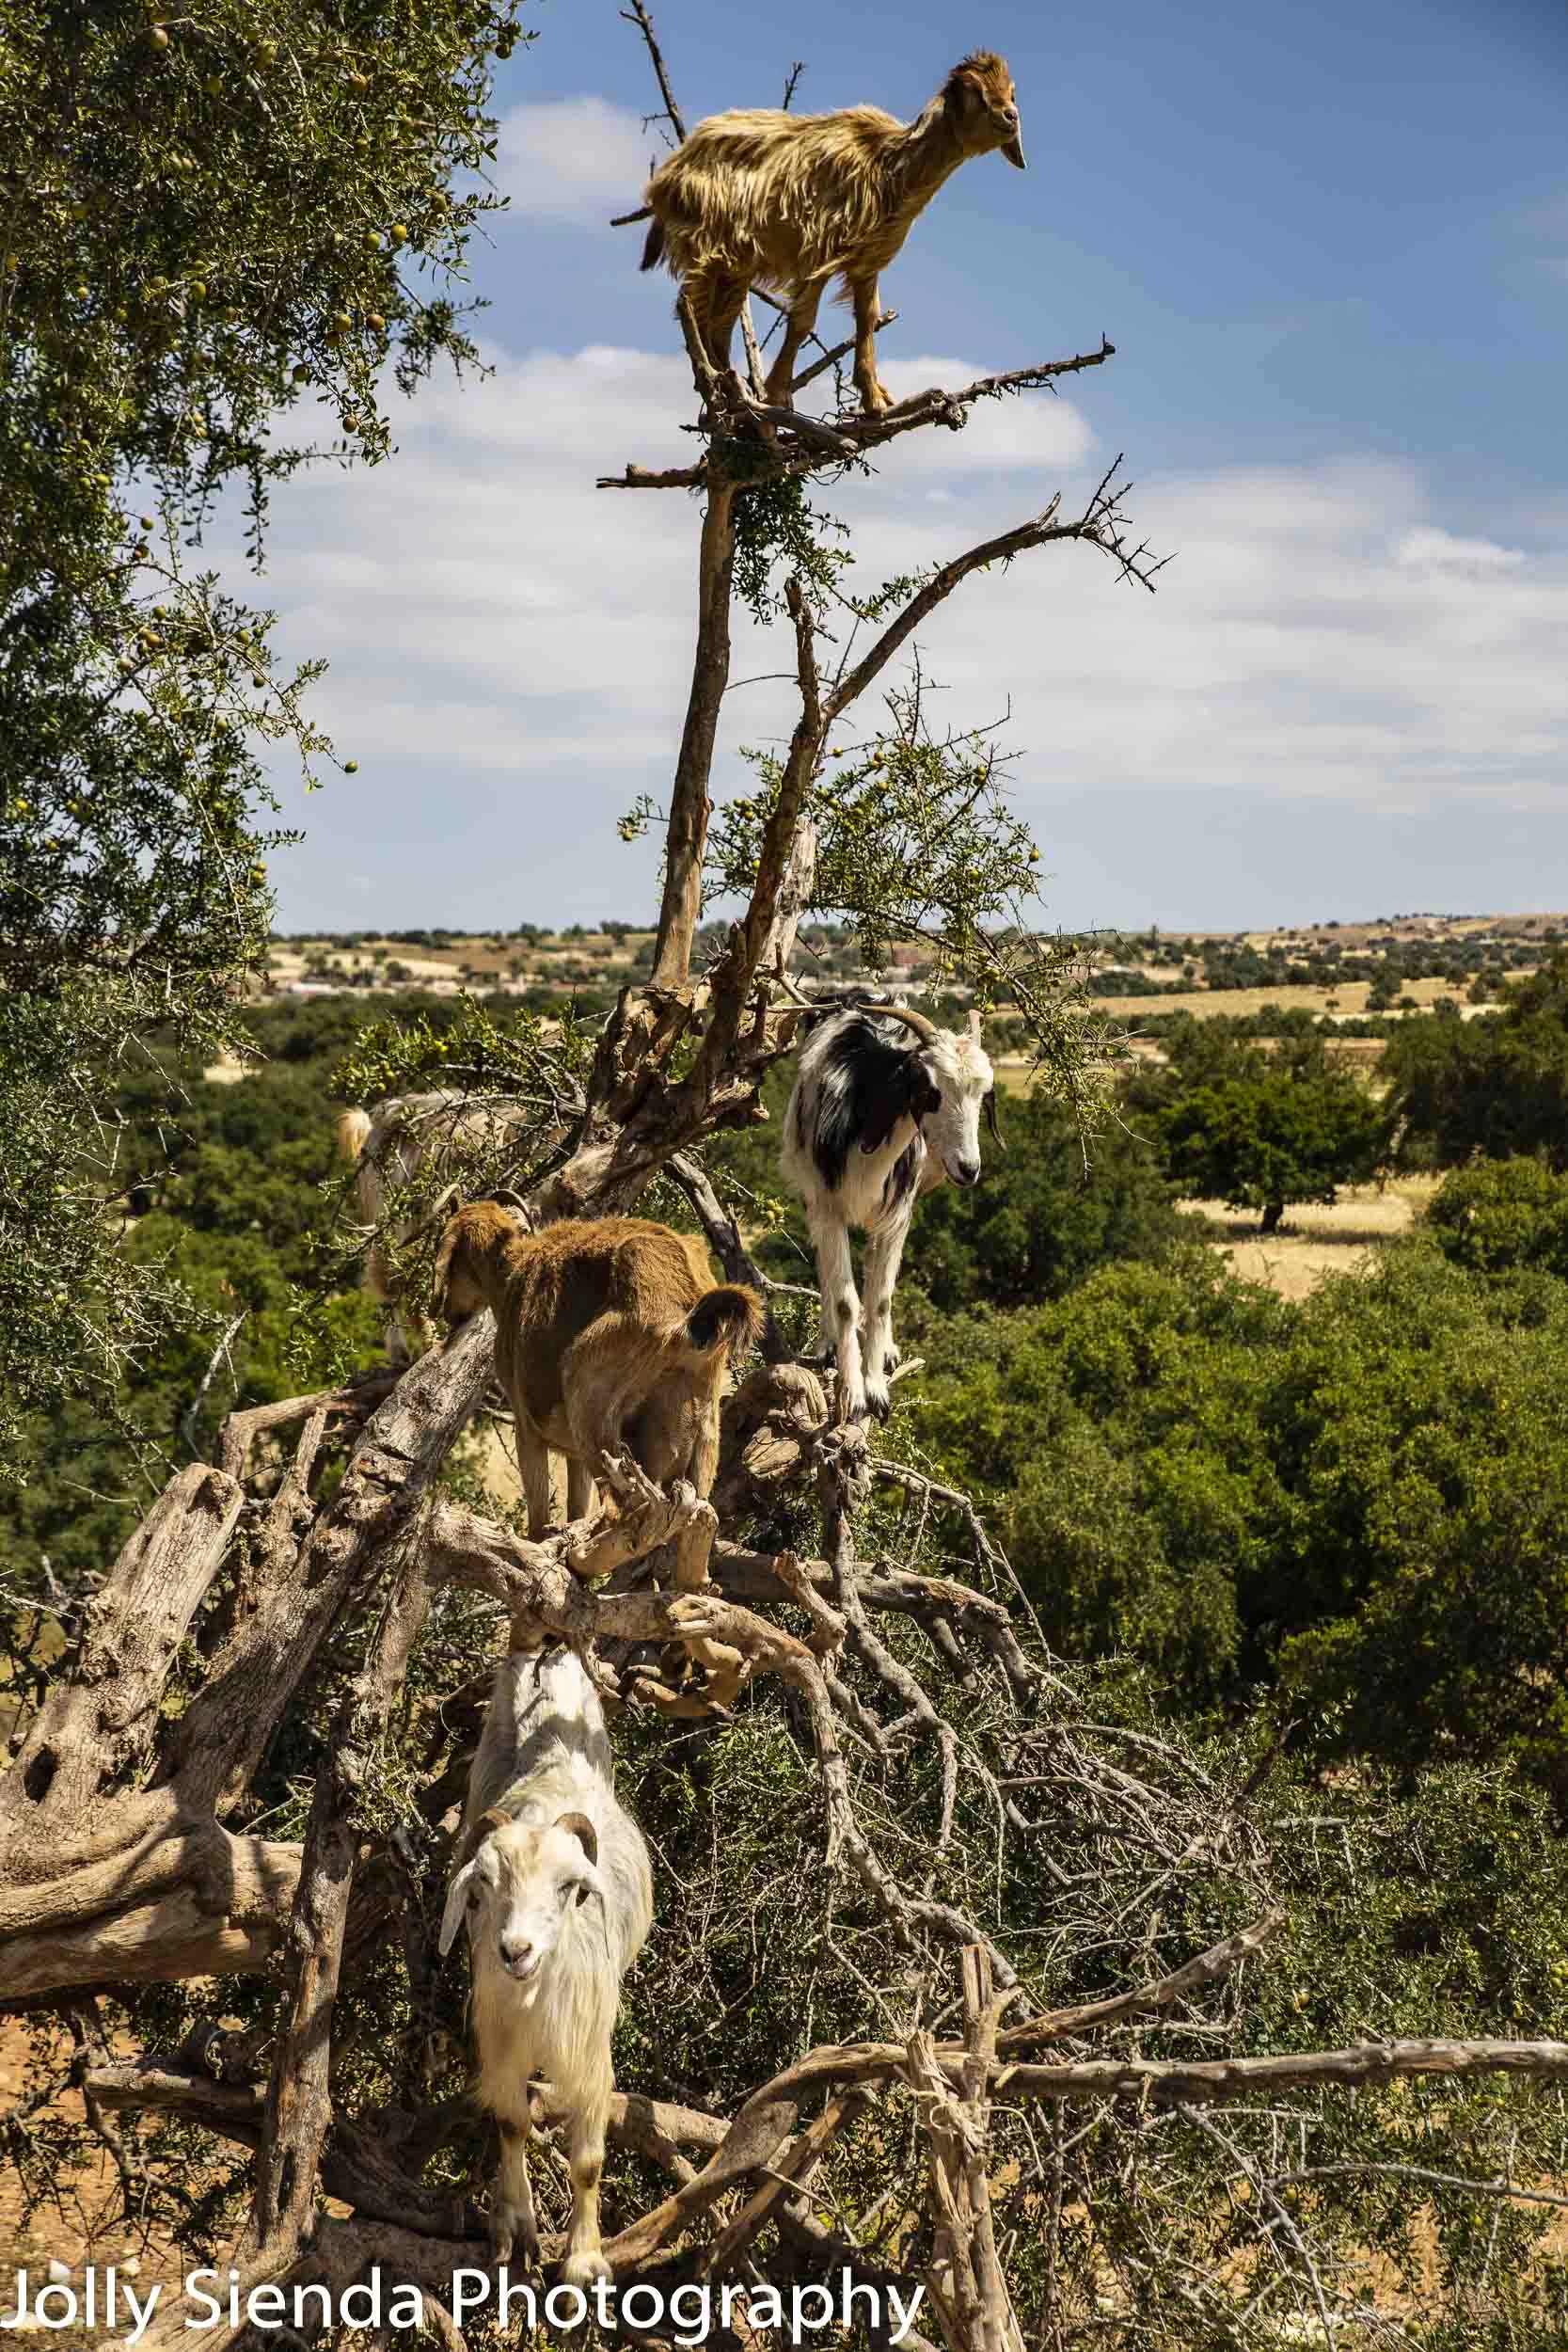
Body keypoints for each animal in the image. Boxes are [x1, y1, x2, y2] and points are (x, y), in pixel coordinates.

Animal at [434, 1201, 764, 1538]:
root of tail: (683, 1323)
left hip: (593, 1412)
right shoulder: (574, 1455)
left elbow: (539, 1519)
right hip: (702, 1437)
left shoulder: (527, 1427)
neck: (509, 1276)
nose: (448, 1311)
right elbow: (576, 1506)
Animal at [440, 1641, 653, 2284]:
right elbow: (511, 2123)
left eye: (568, 1887)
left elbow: (587, 2162)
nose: (515, 1950)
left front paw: (584, 2259)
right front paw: (516, 2227)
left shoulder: (590, 2060)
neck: (536, 2002)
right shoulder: (500, 2044)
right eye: (483, 1885)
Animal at [639, 52, 1024, 417]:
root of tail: (665, 178)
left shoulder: (867, 261)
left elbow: (867, 319)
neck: (890, 168)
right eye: (973, 90)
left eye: (1011, 91)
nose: (1010, 116)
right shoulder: (818, 251)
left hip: (738, 262)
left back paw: (729, 389)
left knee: (720, 322)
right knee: (693, 307)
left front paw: (874, 400)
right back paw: (719, 385)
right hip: (707, 243)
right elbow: (802, 320)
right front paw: (779, 394)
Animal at [781, 1000, 1001, 1421]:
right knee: (826, 1272)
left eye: (983, 1094)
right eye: (931, 1090)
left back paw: (884, 1351)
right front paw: (852, 1393)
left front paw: (877, 1389)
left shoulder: (895, 1217)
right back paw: (827, 1344)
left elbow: (880, 1297)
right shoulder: (827, 1209)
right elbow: (845, 1300)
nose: (968, 1168)